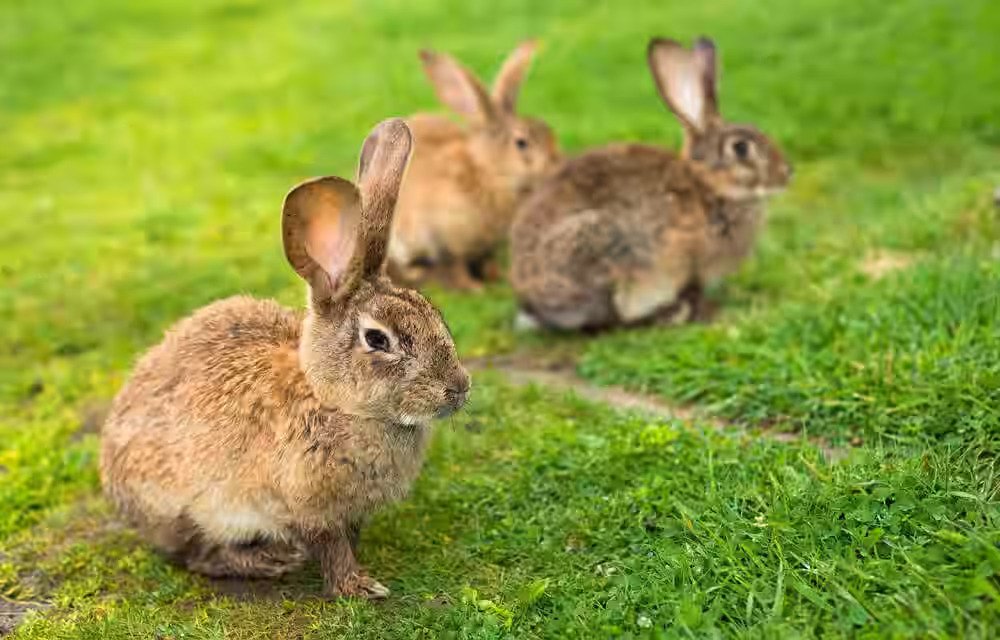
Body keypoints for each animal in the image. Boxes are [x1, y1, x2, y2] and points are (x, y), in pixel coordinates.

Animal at [100, 119, 471, 600]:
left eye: (434, 314)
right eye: (377, 339)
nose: (459, 388)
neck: (334, 401)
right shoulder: (305, 506)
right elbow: (330, 547)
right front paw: (358, 587)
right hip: (184, 508)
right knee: (197, 555)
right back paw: (267, 560)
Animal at [388, 41, 561, 291]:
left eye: (549, 132)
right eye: (522, 143)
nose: (557, 165)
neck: (490, 175)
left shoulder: (489, 247)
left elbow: (488, 263)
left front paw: (501, 279)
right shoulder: (446, 241)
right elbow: (456, 266)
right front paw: (475, 289)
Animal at [510, 37, 792, 330]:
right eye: (740, 148)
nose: (787, 173)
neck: (707, 184)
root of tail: (533, 305)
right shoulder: (689, 262)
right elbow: (693, 289)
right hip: (603, 250)